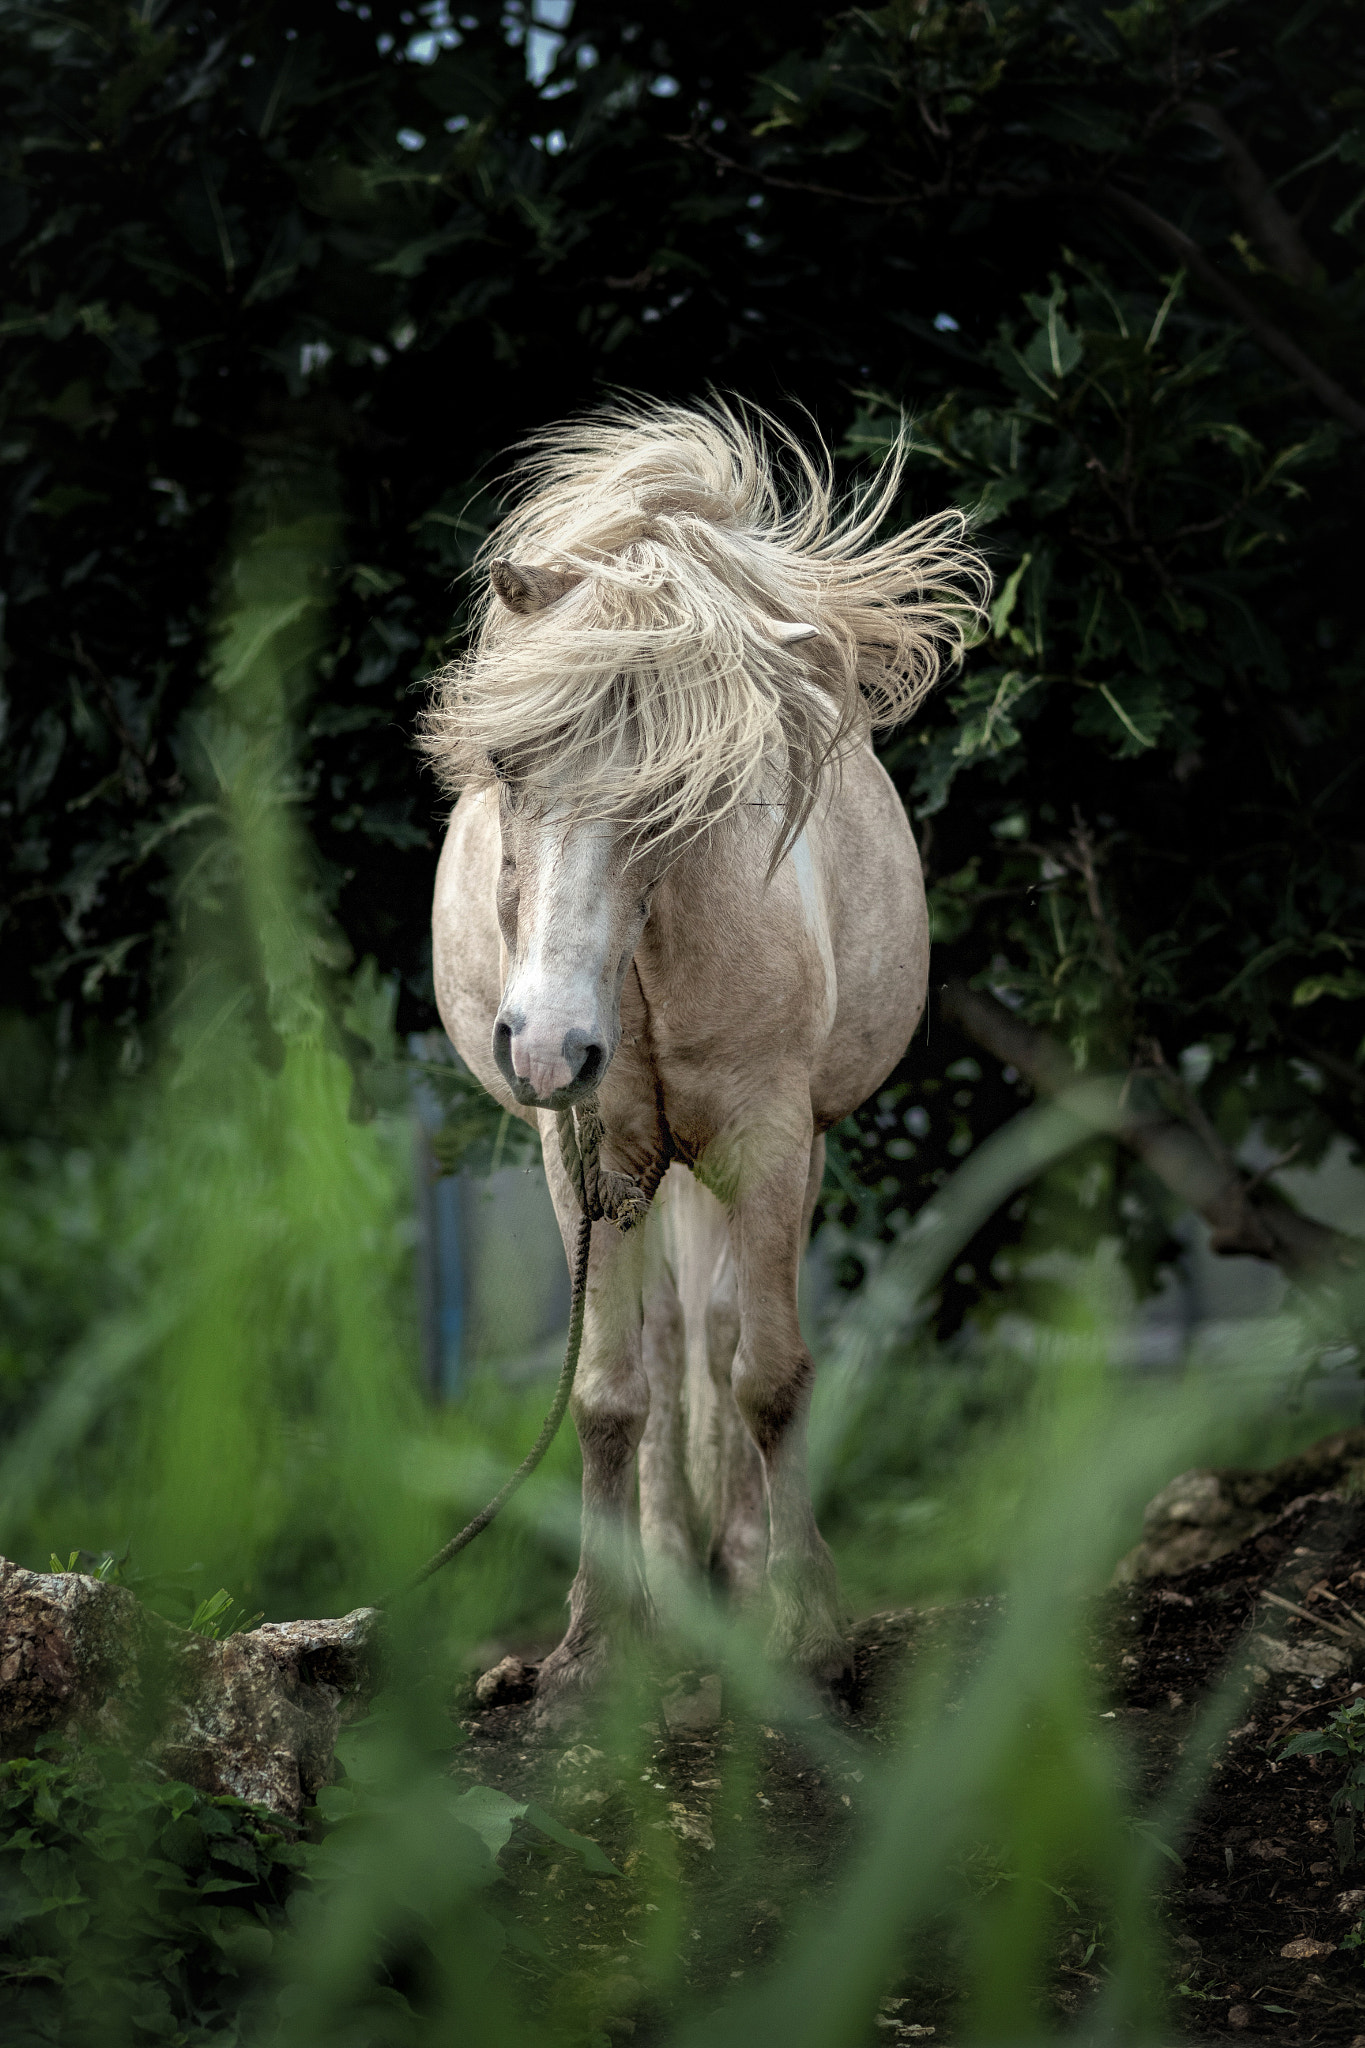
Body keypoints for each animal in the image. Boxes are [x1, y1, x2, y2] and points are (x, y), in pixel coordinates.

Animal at [421, 403, 986, 1712]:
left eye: (676, 792)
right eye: (509, 766)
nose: (545, 1044)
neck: (642, 961)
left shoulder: (768, 1138)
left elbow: (769, 1373)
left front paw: (805, 1622)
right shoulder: (578, 1155)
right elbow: (607, 1392)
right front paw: (593, 1643)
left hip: (770, 1154)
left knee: (725, 1337)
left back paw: (743, 1564)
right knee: (677, 1343)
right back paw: (677, 1581)